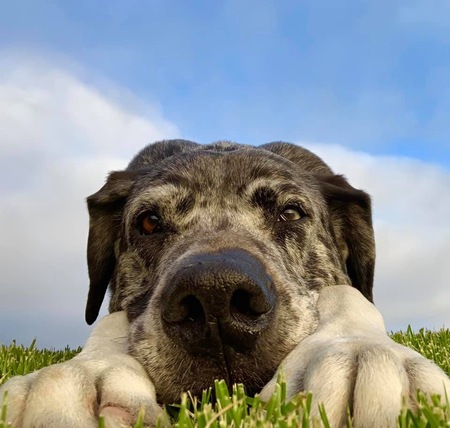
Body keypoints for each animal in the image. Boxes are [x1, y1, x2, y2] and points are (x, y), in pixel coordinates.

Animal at [0, 141, 450, 428]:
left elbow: (349, 296)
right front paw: (81, 377)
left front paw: (362, 352)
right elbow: (111, 323)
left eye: (291, 212)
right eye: (149, 222)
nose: (215, 298)